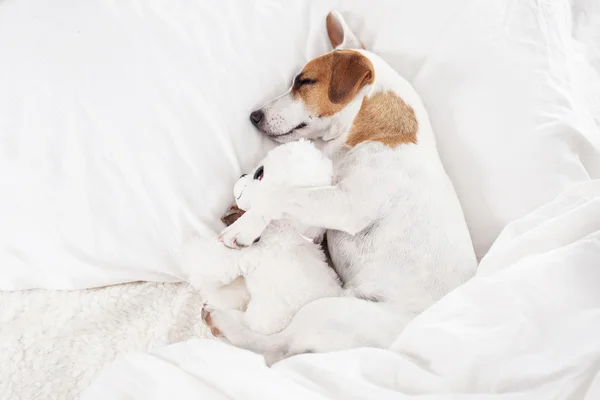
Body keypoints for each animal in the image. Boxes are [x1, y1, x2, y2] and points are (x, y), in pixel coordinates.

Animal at [183, 141, 342, 338]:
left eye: (259, 173)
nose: (242, 174)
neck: (287, 230)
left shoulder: (248, 255)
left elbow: (212, 263)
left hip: (266, 319)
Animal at [206, 10, 478, 366]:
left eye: (304, 82)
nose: (254, 115)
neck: (373, 133)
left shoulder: (347, 207)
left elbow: (284, 194)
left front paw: (244, 225)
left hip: (328, 313)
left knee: (275, 348)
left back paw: (223, 321)